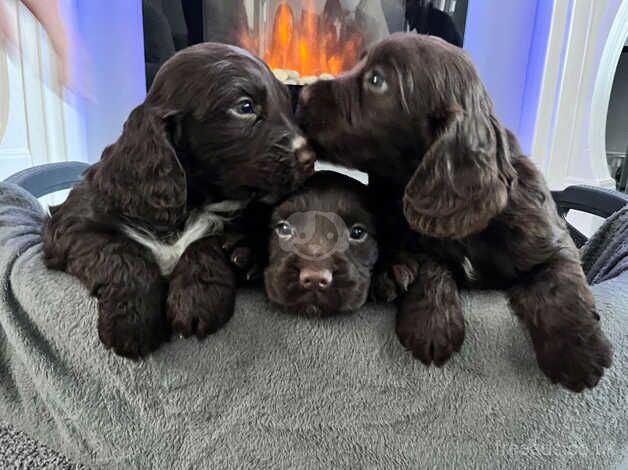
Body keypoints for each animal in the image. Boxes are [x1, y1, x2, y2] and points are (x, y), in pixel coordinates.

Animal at [41, 45, 314, 360]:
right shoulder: (70, 223)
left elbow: (209, 240)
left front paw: (196, 299)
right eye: (245, 107)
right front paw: (132, 321)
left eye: (287, 104)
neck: (193, 202)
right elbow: (121, 251)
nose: (310, 158)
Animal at [296, 34, 612, 392]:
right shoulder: (421, 240)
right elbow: (433, 263)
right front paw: (431, 325)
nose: (301, 94)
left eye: (376, 80)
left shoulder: (549, 241)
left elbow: (560, 284)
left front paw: (579, 354)